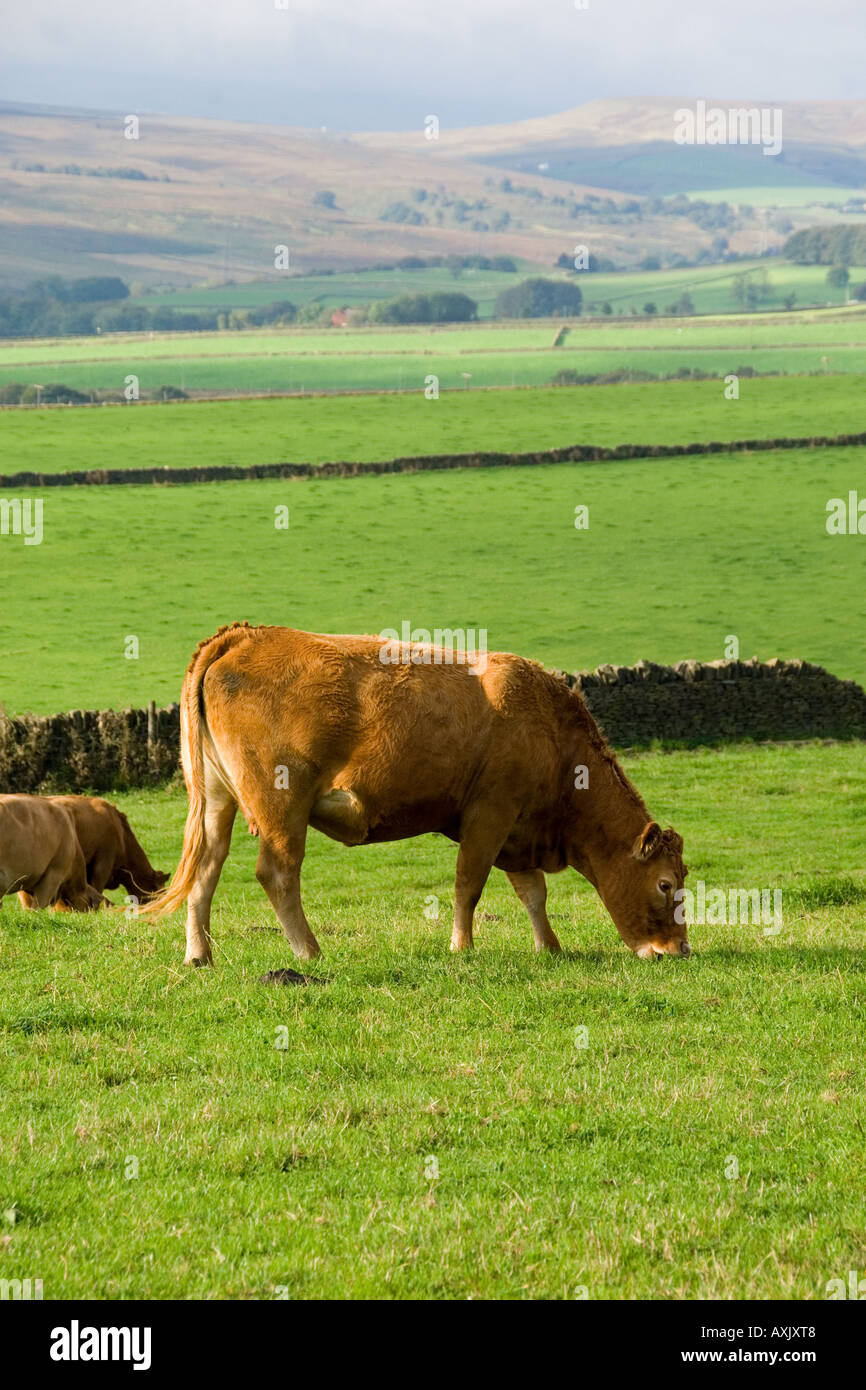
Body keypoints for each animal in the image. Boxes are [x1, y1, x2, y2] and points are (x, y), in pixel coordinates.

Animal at [147, 623, 690, 969]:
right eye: (665, 884)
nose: (678, 951)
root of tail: (245, 634)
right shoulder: (490, 813)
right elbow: (469, 884)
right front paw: (462, 946)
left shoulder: (517, 827)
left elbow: (532, 891)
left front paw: (549, 947)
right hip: (283, 804)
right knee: (277, 873)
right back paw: (309, 952)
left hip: (217, 797)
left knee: (206, 869)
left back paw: (199, 954)